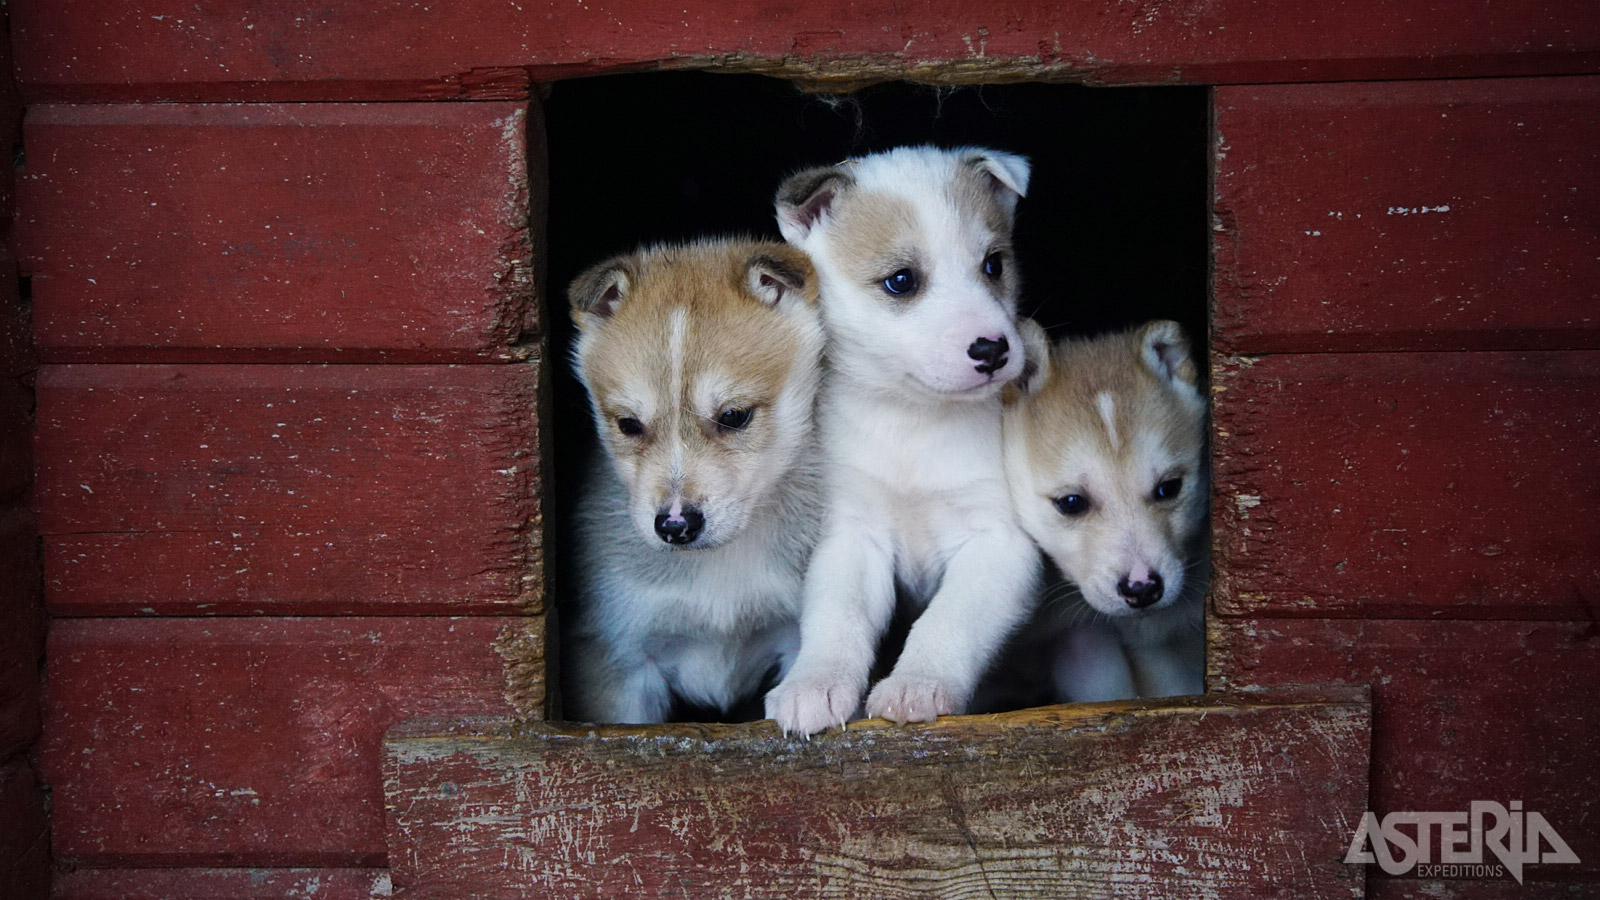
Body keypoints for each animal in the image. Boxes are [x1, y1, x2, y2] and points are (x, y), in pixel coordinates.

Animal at [764, 141, 1043, 730]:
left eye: (993, 265)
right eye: (901, 280)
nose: (992, 350)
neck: (914, 419)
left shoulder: (999, 545)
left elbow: (949, 619)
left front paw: (919, 682)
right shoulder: (852, 538)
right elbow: (837, 618)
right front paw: (813, 682)